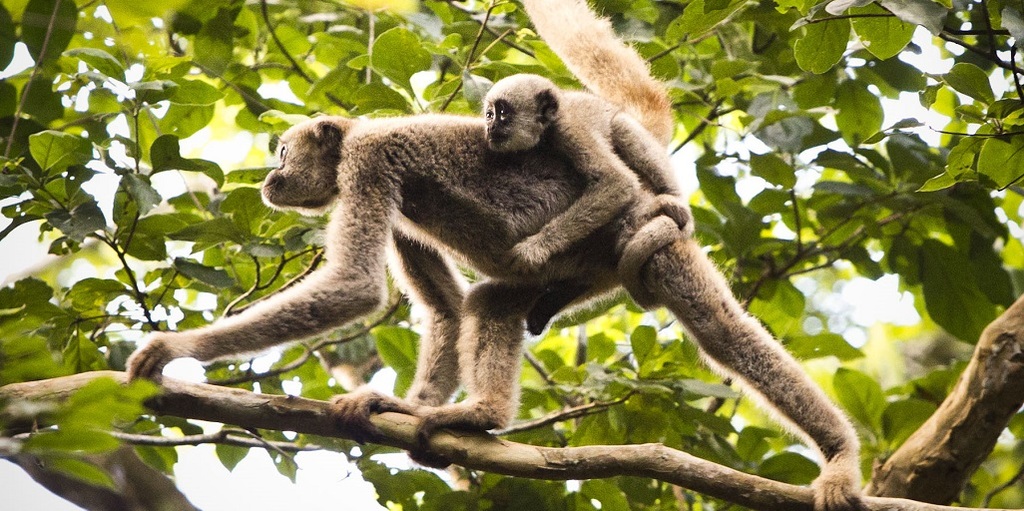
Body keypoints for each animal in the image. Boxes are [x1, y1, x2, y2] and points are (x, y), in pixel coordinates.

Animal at [483, 74, 692, 333]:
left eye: (502, 113)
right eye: (489, 114)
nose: (490, 126)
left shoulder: (570, 130)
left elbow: (617, 181)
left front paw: (536, 248)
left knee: (620, 127)